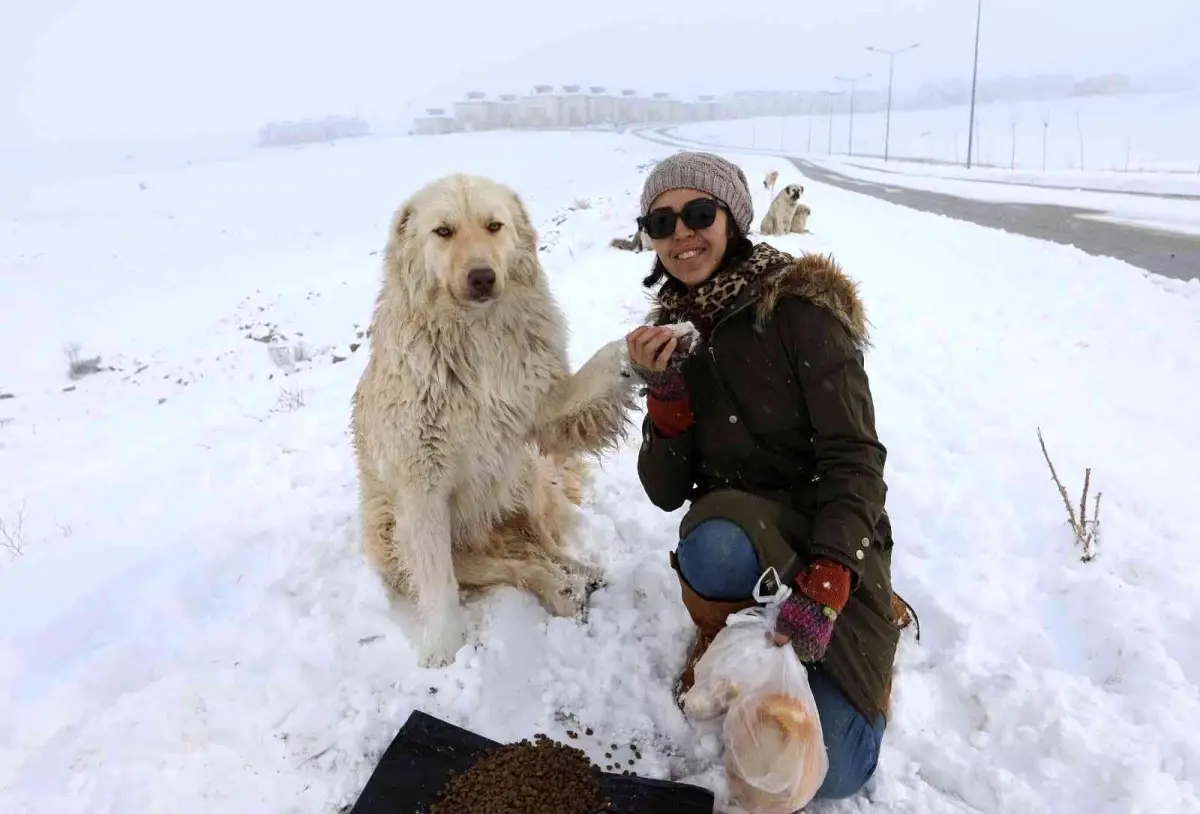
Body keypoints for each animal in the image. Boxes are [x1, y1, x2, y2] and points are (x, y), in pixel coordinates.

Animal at [350, 171, 638, 667]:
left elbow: (597, 370)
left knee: (544, 544)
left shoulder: (544, 407)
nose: (482, 277)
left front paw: (658, 342)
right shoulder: (422, 491)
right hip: (394, 537)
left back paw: (580, 572)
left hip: (523, 482)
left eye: (494, 226)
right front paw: (444, 648)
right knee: (518, 567)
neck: (474, 338)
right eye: (443, 231)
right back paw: (562, 591)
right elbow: (438, 581)